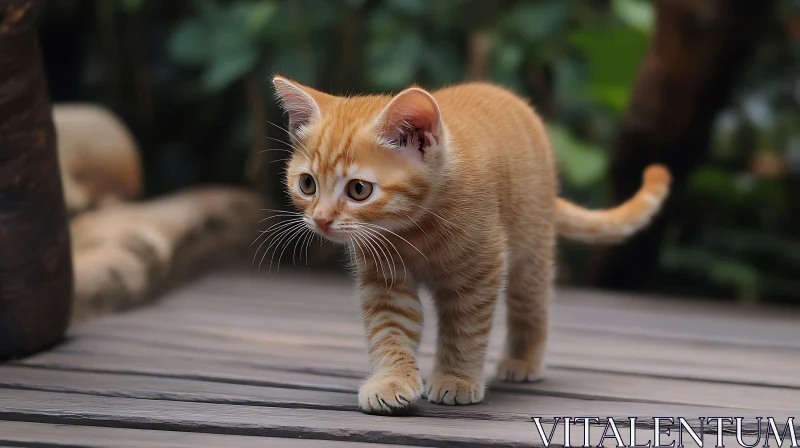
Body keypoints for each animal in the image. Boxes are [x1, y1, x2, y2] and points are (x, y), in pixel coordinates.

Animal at [272, 75, 672, 414]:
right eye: (307, 184)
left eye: (358, 189)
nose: (321, 219)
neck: (415, 230)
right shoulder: (384, 282)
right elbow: (390, 330)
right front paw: (391, 381)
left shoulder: (480, 273)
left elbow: (465, 330)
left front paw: (456, 379)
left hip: (531, 251)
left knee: (532, 305)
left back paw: (523, 360)